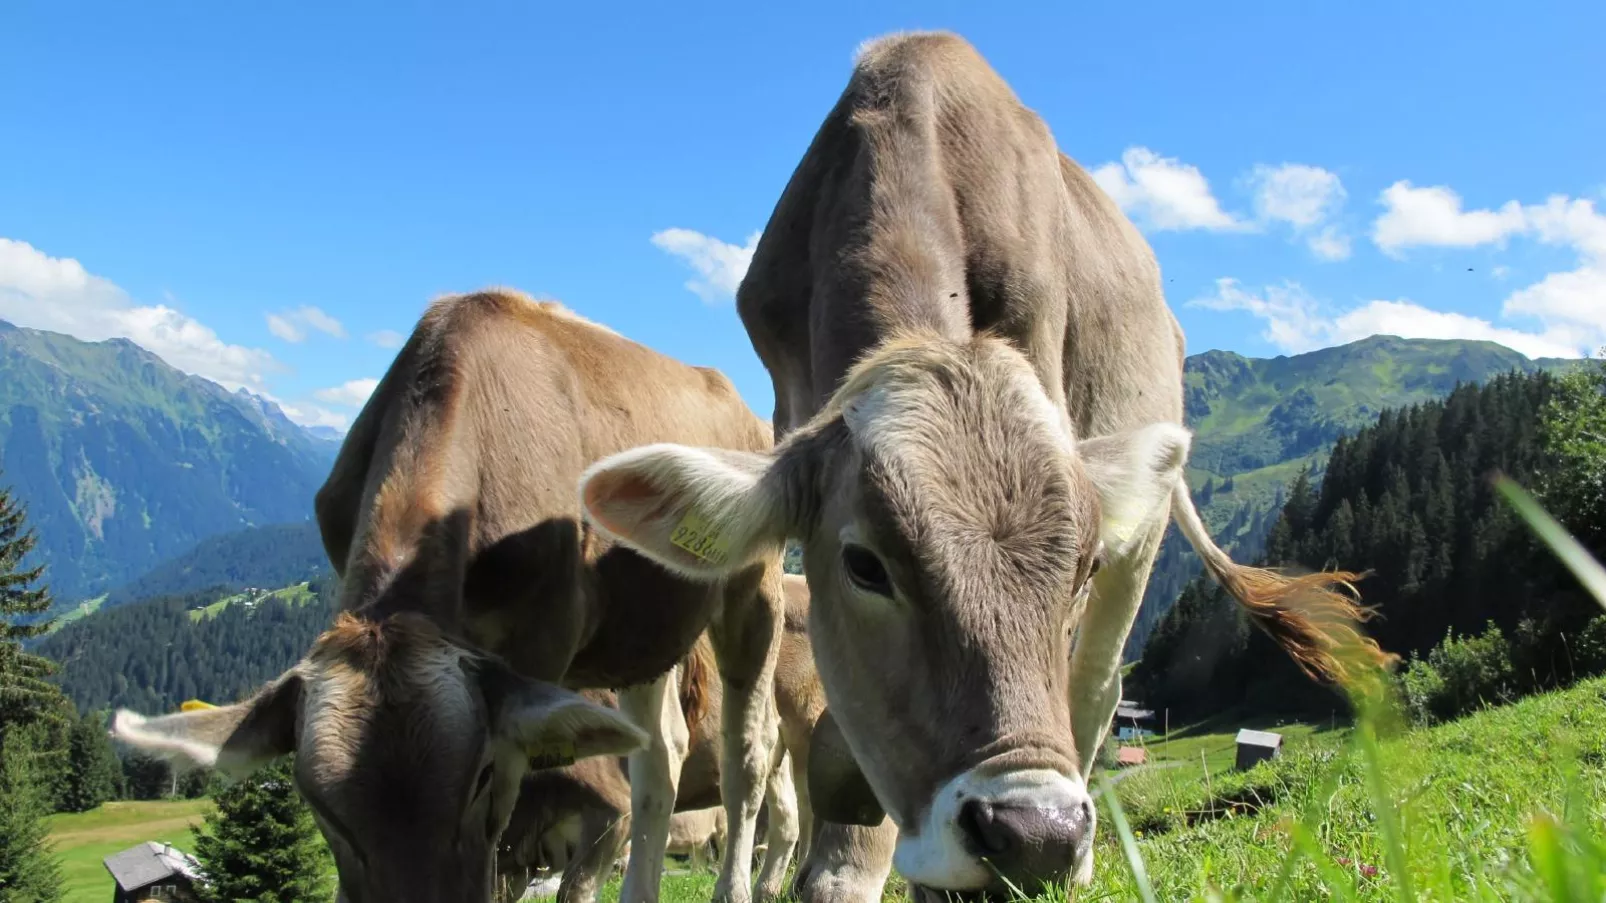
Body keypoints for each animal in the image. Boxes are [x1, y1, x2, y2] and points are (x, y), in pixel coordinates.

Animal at [113, 289, 790, 899]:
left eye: (481, 776)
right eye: (318, 804)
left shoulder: (539, 646)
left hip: (755, 588)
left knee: (747, 755)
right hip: (640, 632)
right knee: (660, 756)